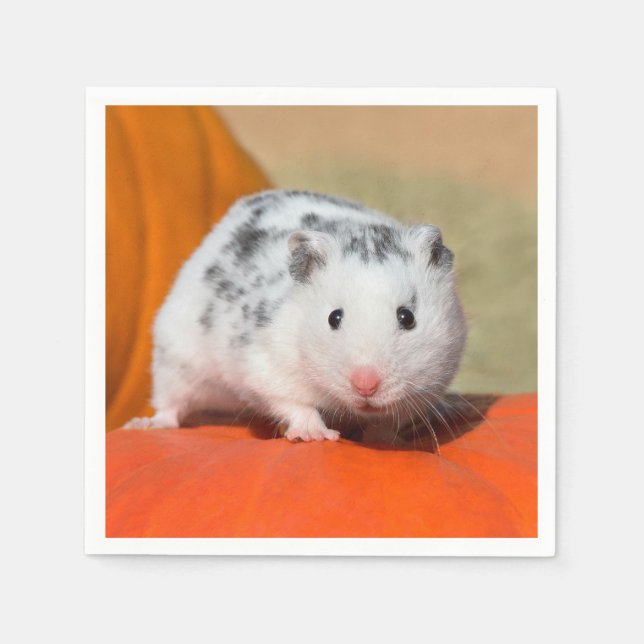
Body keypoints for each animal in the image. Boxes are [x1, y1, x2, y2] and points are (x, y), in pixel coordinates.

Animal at [124, 189, 467, 442]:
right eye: (333, 318)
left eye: (407, 317)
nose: (365, 386)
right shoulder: (267, 368)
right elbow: (295, 403)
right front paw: (316, 435)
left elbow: (386, 424)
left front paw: (383, 440)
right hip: (175, 357)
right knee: (169, 404)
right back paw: (144, 425)